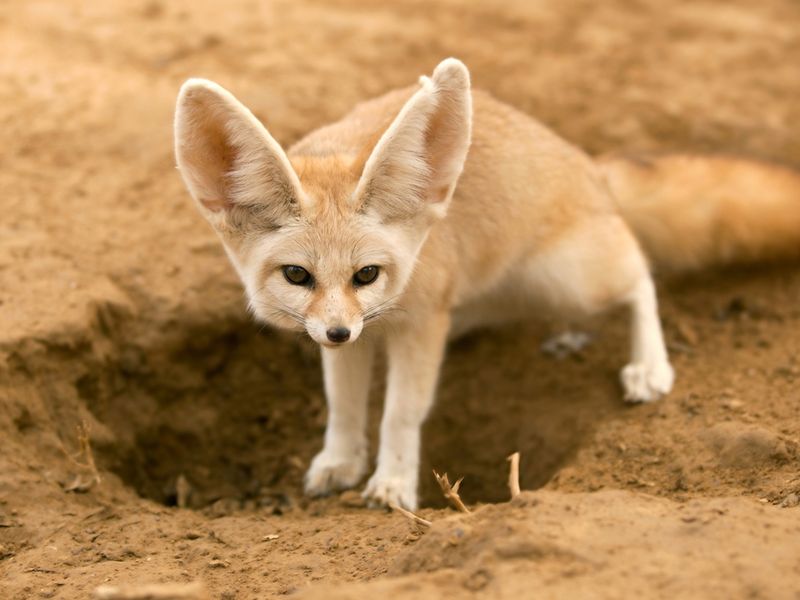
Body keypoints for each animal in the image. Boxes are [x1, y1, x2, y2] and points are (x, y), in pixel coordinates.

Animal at [175, 58, 800, 508]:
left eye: (367, 274)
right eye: (297, 276)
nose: (336, 333)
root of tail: (589, 166)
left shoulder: (420, 324)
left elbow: (400, 412)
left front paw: (393, 484)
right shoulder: (355, 335)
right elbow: (344, 406)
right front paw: (341, 461)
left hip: (571, 275)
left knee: (640, 275)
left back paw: (649, 365)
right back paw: (569, 334)